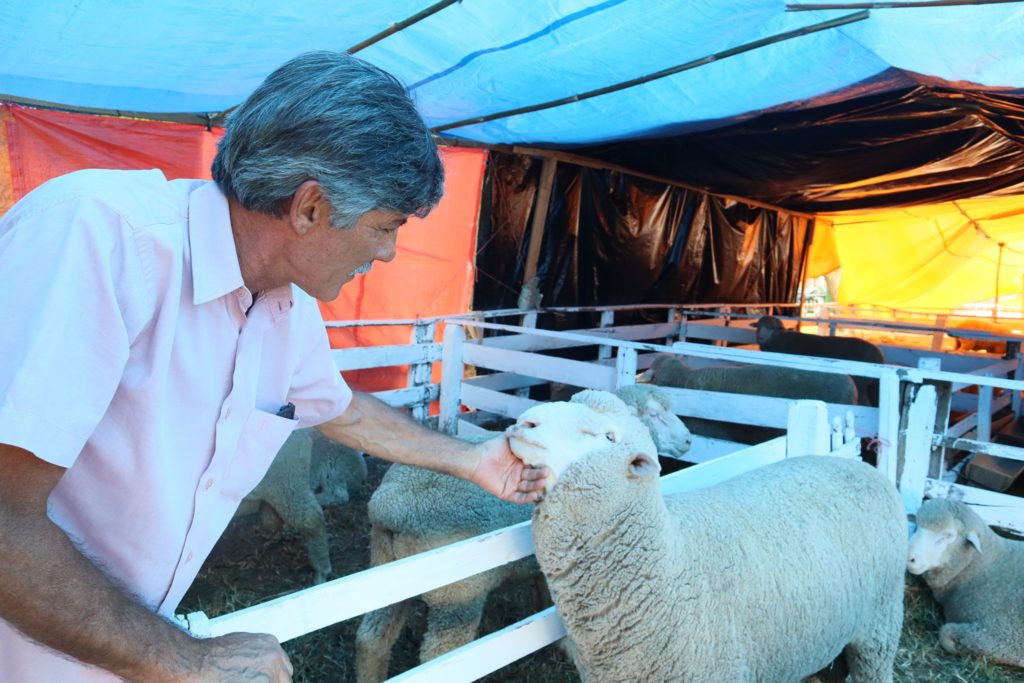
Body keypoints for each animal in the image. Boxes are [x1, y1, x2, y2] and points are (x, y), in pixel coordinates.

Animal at [356, 387, 692, 679]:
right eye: (654, 414)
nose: (689, 440)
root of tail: (391, 504)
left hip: (385, 570)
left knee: (371, 639)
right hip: (459, 596)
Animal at [749, 315, 884, 405]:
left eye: (773, 328)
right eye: (758, 326)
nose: (760, 338)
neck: (779, 339)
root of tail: (880, 356)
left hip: (861, 385)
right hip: (871, 387)